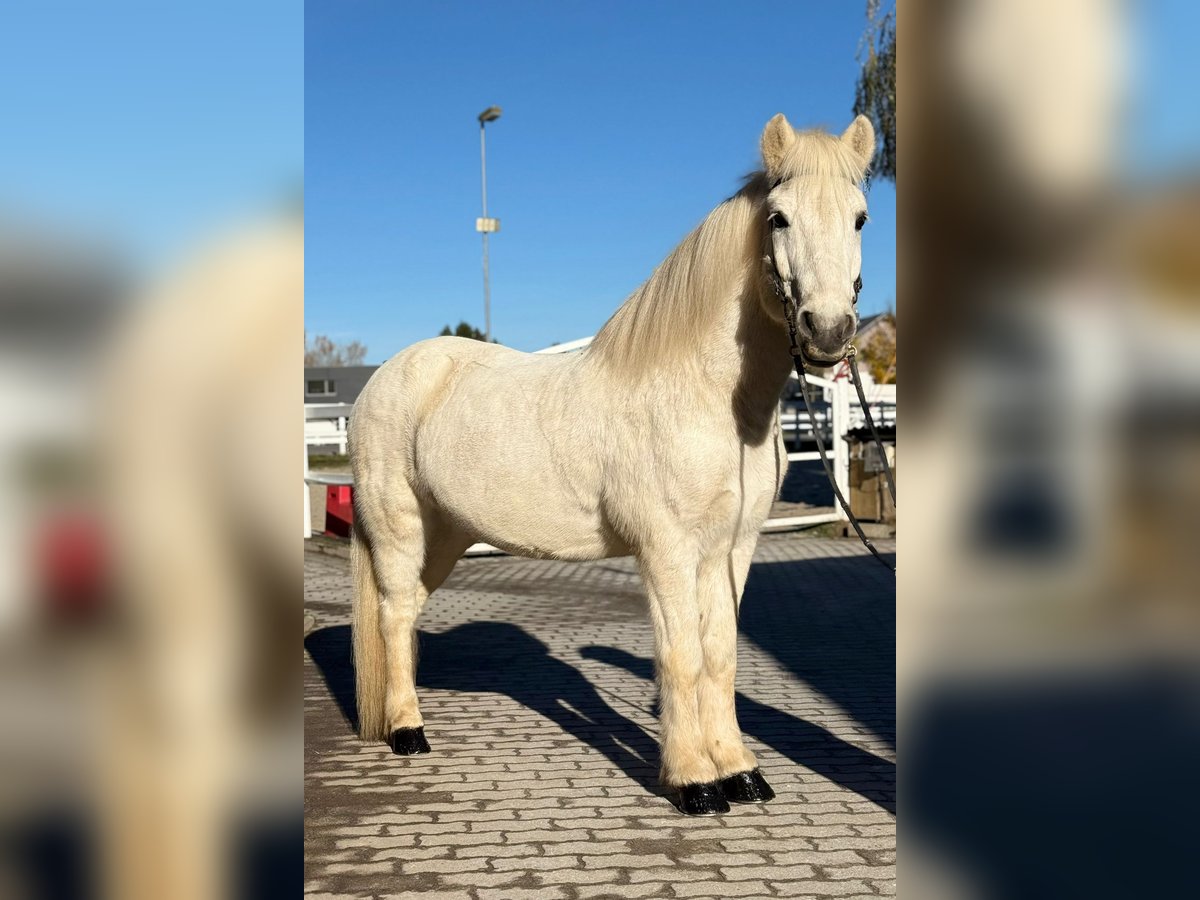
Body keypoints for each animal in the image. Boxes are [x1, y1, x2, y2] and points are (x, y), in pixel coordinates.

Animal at [350, 113, 875, 815]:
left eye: (860, 218)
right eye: (779, 218)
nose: (828, 331)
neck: (707, 398)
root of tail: (385, 377)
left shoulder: (732, 548)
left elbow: (722, 656)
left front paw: (741, 772)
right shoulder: (667, 550)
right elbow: (681, 658)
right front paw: (694, 782)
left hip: (447, 535)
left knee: (407, 614)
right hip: (399, 529)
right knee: (392, 613)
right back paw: (408, 731)